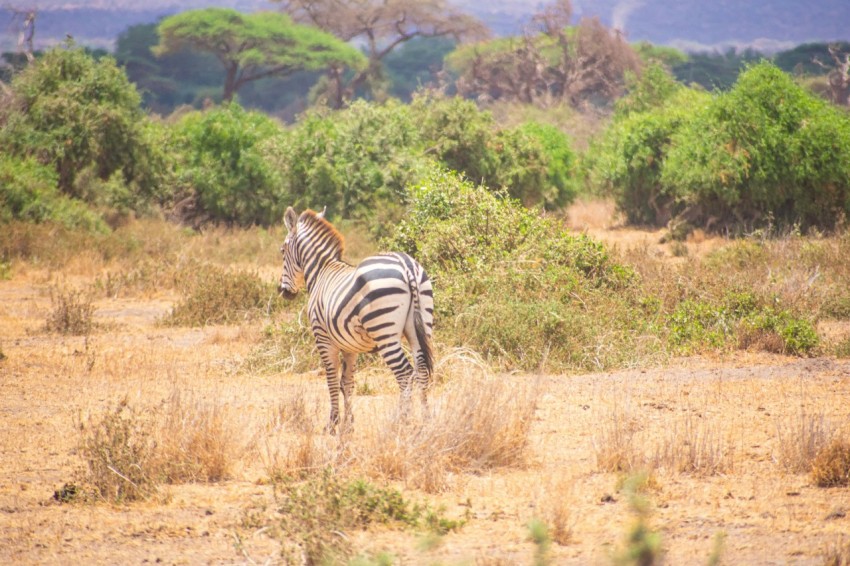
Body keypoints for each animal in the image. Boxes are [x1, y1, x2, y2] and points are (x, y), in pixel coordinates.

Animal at [278, 209, 434, 434]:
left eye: (282, 251)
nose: (284, 292)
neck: (322, 271)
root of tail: (407, 265)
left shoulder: (323, 339)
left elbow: (332, 380)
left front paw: (332, 424)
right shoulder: (350, 346)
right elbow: (347, 382)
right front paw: (349, 425)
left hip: (385, 331)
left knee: (405, 373)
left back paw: (401, 423)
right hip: (420, 325)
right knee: (421, 370)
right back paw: (426, 421)